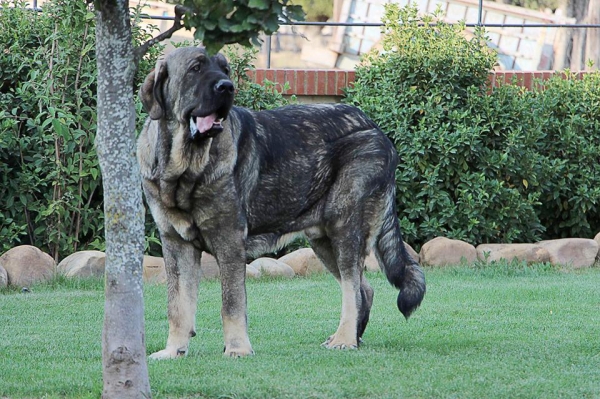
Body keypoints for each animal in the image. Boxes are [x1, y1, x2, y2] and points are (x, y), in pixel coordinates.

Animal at [138, 47, 424, 360]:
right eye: (195, 68)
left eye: (225, 69)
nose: (227, 87)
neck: (186, 169)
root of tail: (374, 127)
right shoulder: (176, 244)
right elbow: (178, 305)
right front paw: (173, 350)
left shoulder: (229, 241)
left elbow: (231, 304)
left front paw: (237, 349)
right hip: (323, 241)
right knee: (364, 289)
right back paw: (351, 338)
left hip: (346, 227)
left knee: (353, 288)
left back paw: (344, 339)